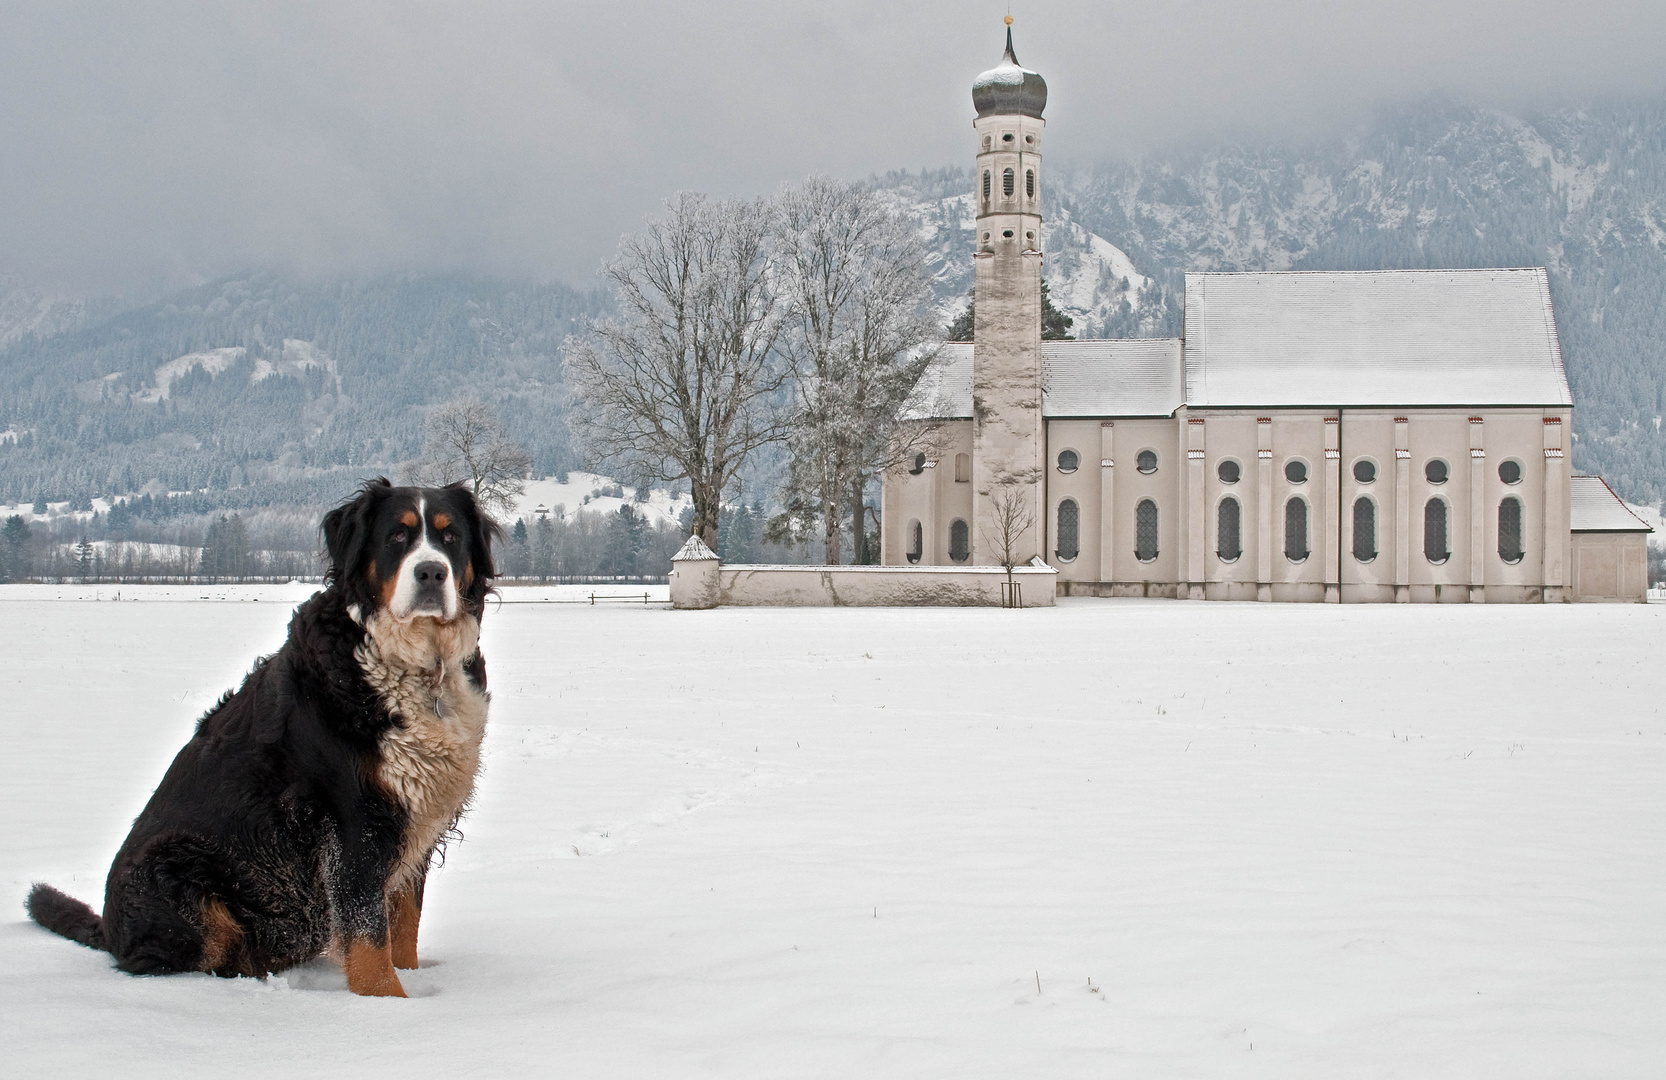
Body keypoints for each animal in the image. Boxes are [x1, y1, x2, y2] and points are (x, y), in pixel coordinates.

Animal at [26, 480, 496, 993]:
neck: (417, 667)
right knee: (165, 961)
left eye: (450, 537)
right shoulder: (355, 821)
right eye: (397, 536)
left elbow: (404, 922)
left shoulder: (416, 816)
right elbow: (370, 941)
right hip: (176, 873)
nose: (431, 572)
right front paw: (385, 1003)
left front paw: (413, 986)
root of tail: (108, 929)